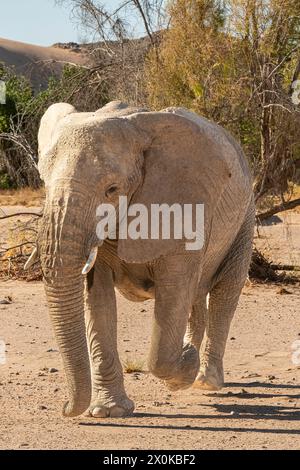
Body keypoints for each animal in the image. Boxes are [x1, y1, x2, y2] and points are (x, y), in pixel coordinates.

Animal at [26, 101, 255, 416]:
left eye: (112, 190)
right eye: (44, 183)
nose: (64, 407)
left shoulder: (182, 206)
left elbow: (173, 294)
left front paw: (185, 366)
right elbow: (98, 300)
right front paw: (108, 412)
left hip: (244, 217)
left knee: (225, 291)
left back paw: (205, 380)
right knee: (196, 295)